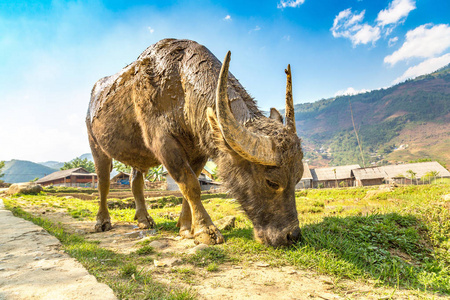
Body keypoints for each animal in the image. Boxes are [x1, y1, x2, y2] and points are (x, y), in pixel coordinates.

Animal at [86, 39, 304, 246]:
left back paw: (144, 220)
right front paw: (206, 230)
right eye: (272, 182)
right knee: (103, 182)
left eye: (297, 178)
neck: (180, 88)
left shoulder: (199, 151)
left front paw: (186, 226)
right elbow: (190, 185)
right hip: (96, 145)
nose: (292, 236)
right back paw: (102, 221)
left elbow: (189, 187)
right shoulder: (163, 144)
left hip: (136, 154)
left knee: (135, 181)